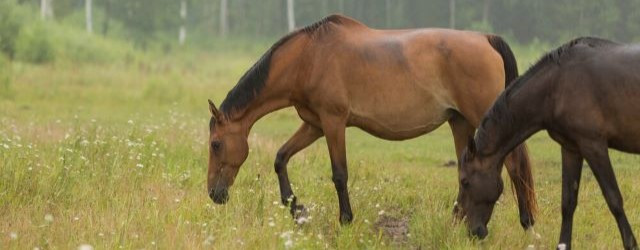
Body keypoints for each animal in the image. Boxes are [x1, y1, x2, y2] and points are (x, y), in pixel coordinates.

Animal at [206, 14, 536, 228]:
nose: (214, 194)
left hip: (481, 117)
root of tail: (486, 39)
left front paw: (345, 220)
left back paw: (527, 221)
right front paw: (294, 206)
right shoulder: (314, 125)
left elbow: (339, 175)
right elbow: (280, 157)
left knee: (515, 166)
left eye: (216, 144)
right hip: (460, 123)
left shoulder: (333, 122)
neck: (308, 57)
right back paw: (457, 222)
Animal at [460, 36, 640, 249]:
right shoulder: (571, 148)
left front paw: (631, 244)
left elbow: (614, 198)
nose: (473, 232)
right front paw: (563, 245)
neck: (557, 85)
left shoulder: (594, 146)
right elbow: (568, 202)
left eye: (464, 181)